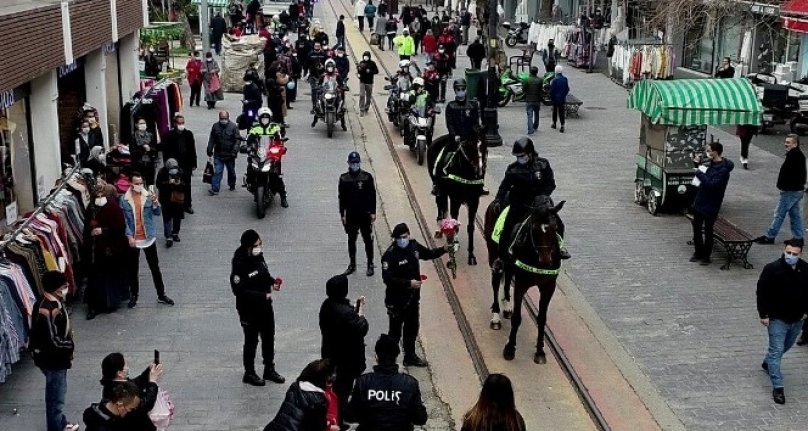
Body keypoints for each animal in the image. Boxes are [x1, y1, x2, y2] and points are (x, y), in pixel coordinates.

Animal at [482, 196, 564, 364]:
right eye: (534, 228)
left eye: (555, 227)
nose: (545, 260)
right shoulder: (521, 284)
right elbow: (517, 318)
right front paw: (510, 348)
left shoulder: (548, 287)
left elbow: (542, 319)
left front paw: (540, 351)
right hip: (493, 255)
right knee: (496, 282)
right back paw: (496, 317)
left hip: (509, 265)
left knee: (507, 280)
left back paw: (507, 306)